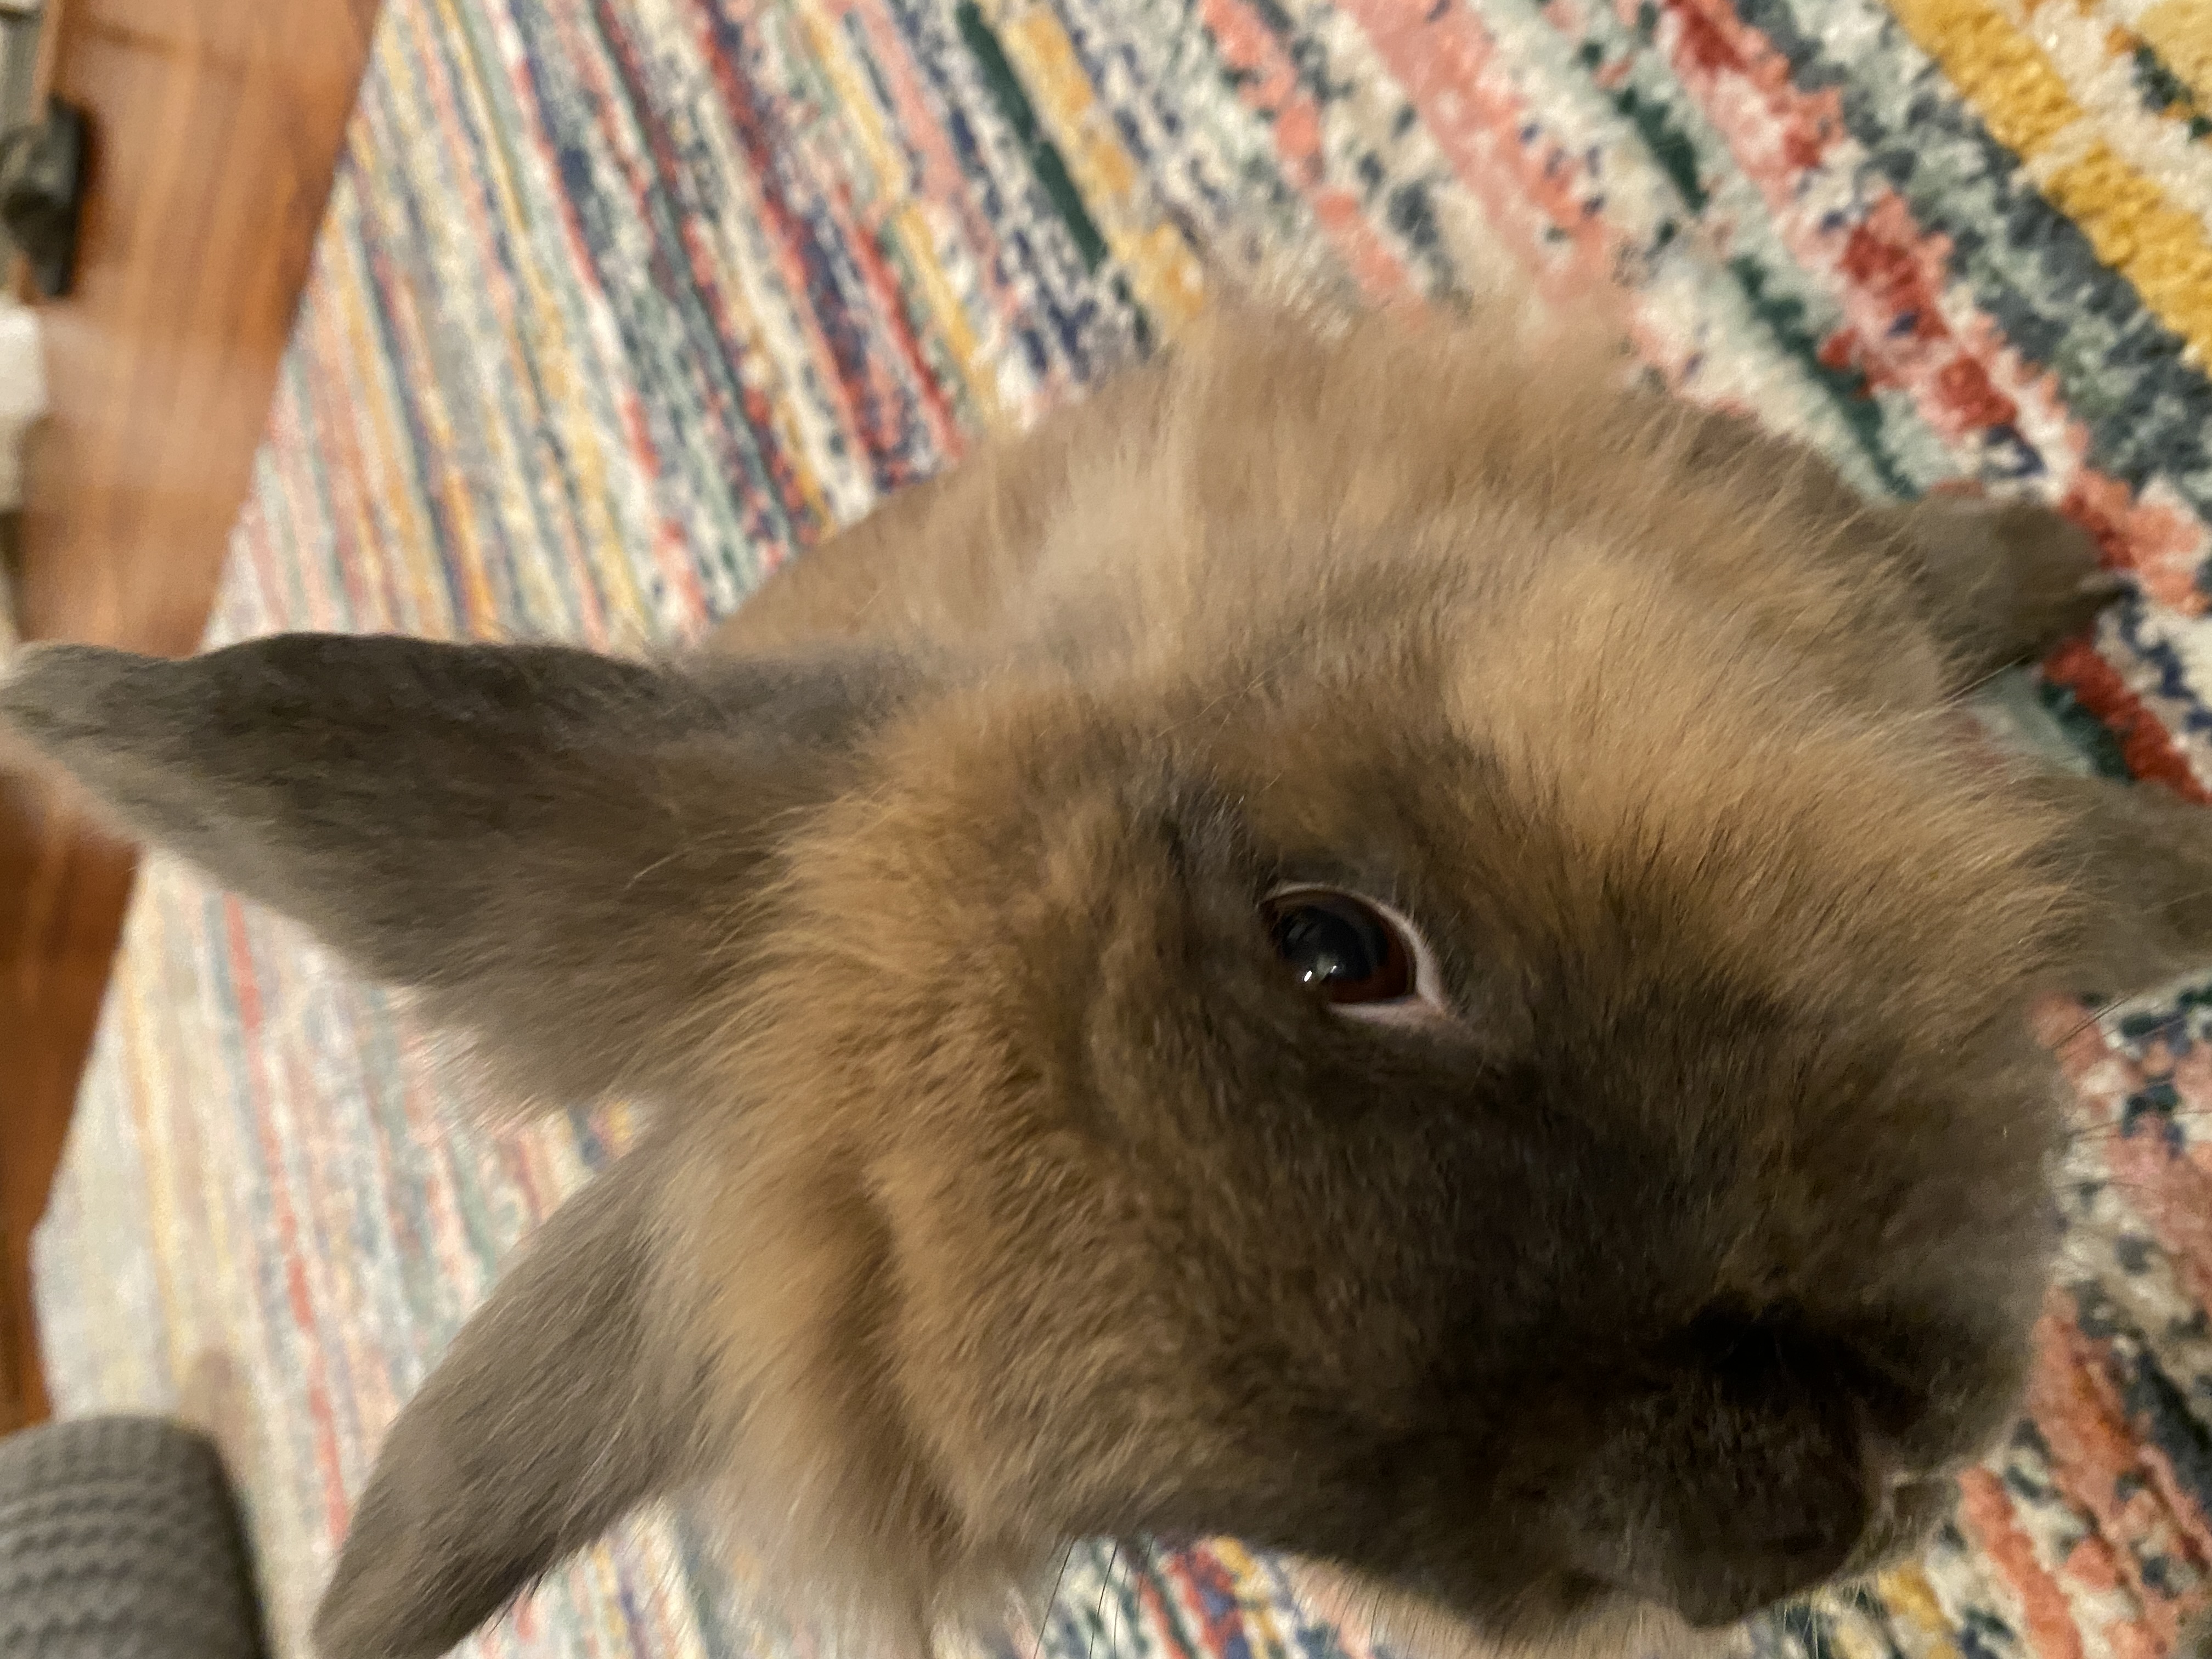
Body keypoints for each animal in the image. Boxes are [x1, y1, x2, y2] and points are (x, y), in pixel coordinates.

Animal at [4, 298, 2207, 1659]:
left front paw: (2089, 621)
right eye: (1165, 1517)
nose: (1790, 1528)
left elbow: (2033, 822)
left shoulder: (1790, 615)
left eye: (1335, 942)